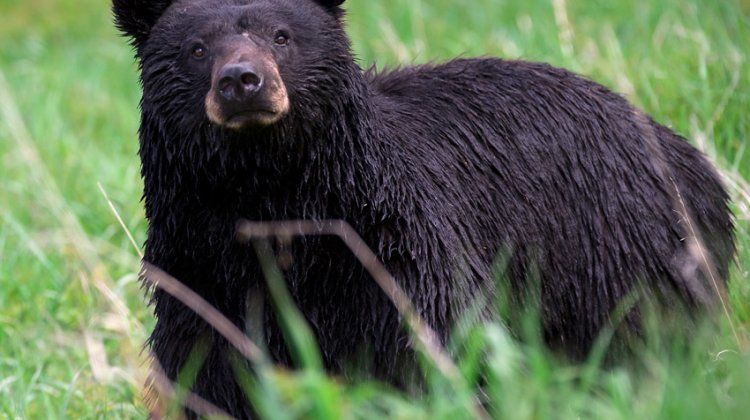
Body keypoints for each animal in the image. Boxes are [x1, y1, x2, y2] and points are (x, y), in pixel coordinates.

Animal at [113, 0, 734, 417]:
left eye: (283, 36)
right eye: (196, 47)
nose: (243, 81)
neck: (272, 200)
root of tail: (691, 159)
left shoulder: (396, 256)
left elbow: (433, 352)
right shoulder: (199, 278)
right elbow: (213, 377)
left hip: (620, 255)